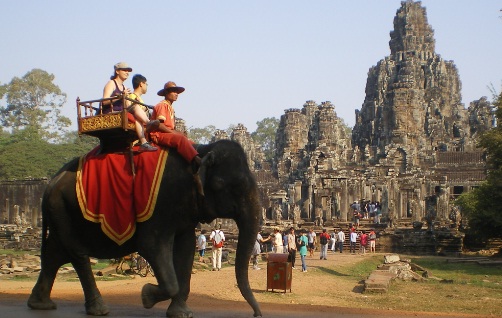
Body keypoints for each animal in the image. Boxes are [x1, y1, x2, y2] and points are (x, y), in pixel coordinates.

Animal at [27, 140, 262, 316]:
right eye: (226, 186)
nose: (256, 314)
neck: (200, 151)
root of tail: (50, 183)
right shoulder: (162, 203)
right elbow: (151, 247)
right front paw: (146, 296)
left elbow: (186, 250)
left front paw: (180, 312)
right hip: (62, 208)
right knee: (77, 254)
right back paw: (98, 308)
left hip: (62, 213)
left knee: (54, 254)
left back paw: (40, 304)